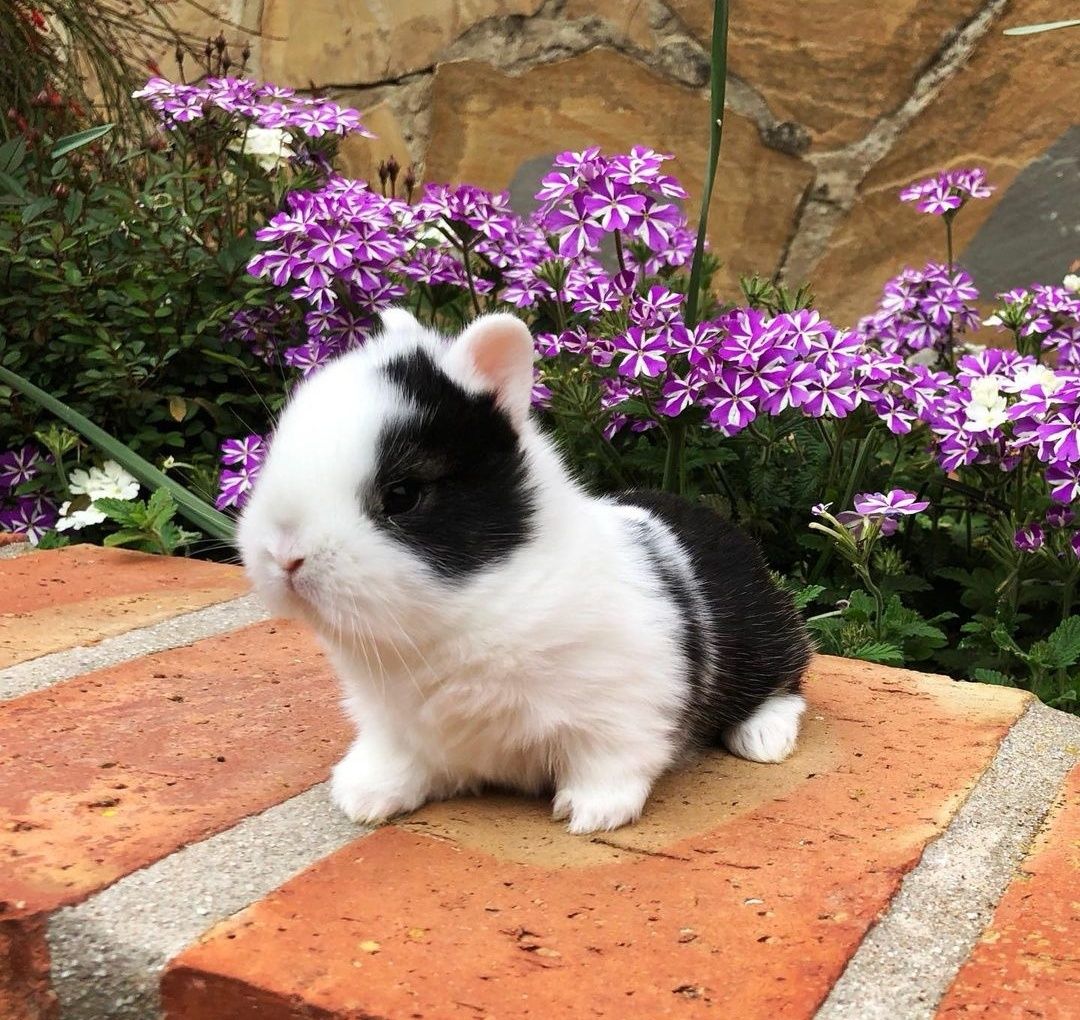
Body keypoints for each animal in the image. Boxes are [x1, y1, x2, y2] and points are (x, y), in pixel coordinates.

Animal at [236, 306, 812, 834]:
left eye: (402, 495)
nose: (283, 555)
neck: (465, 609)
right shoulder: (393, 722)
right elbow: (396, 758)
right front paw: (362, 796)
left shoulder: (618, 712)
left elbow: (610, 763)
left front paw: (590, 814)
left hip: (764, 639)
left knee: (788, 681)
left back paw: (763, 740)